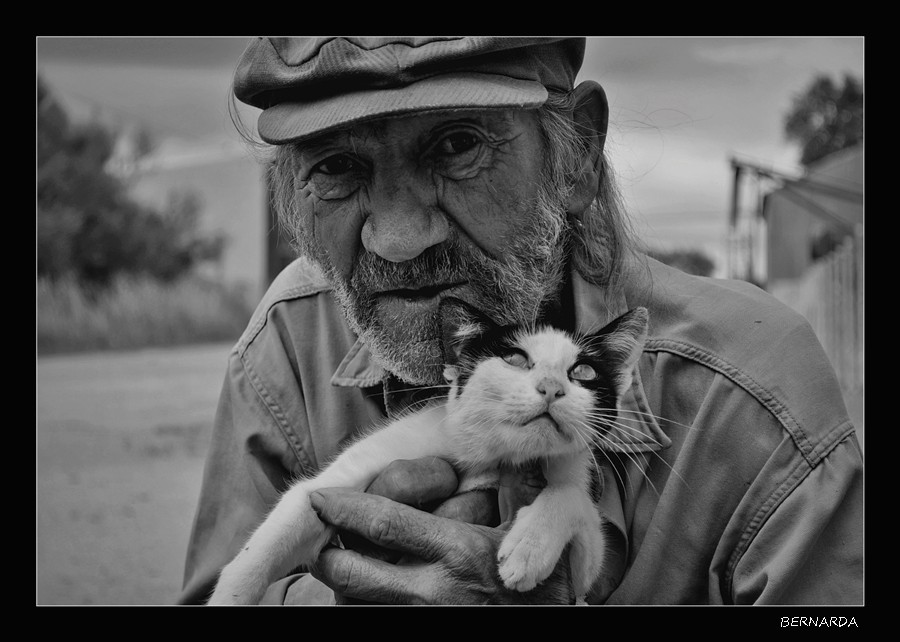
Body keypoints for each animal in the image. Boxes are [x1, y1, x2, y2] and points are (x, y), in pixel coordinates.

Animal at [210, 298, 648, 604]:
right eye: (514, 358)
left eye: (583, 372)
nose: (553, 388)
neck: (495, 457)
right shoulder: (331, 484)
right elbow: (271, 538)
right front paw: (231, 595)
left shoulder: (584, 565)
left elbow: (573, 500)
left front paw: (528, 548)